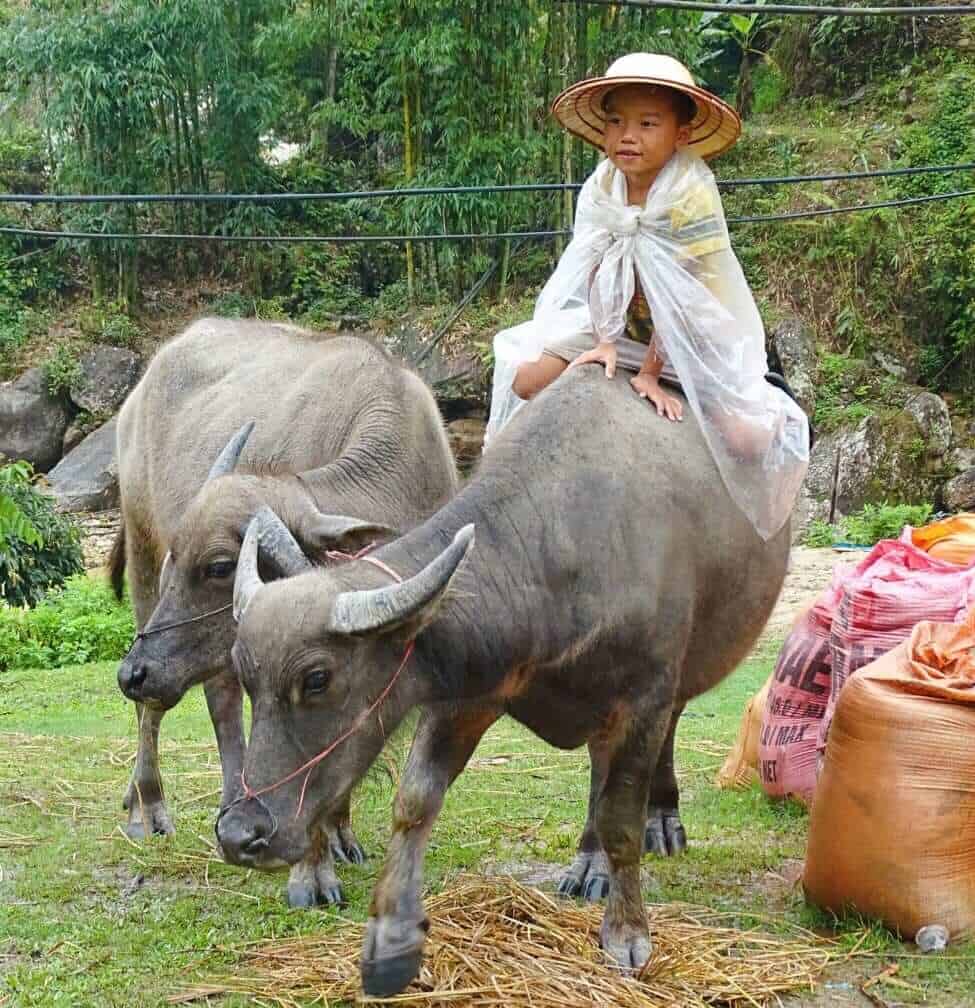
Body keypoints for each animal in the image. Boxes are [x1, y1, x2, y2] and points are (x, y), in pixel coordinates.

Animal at [108, 320, 459, 907]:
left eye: (220, 566)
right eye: (182, 557)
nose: (132, 672)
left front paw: (338, 833)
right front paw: (310, 872)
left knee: (222, 703)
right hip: (140, 555)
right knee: (152, 712)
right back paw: (148, 806)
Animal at [215, 364, 794, 999]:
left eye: (317, 678)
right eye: (245, 674)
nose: (239, 833)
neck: (562, 546)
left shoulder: (644, 697)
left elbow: (621, 820)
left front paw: (626, 933)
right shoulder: (469, 695)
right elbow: (414, 801)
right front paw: (391, 940)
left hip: (686, 673)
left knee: (661, 740)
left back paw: (660, 823)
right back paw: (588, 863)